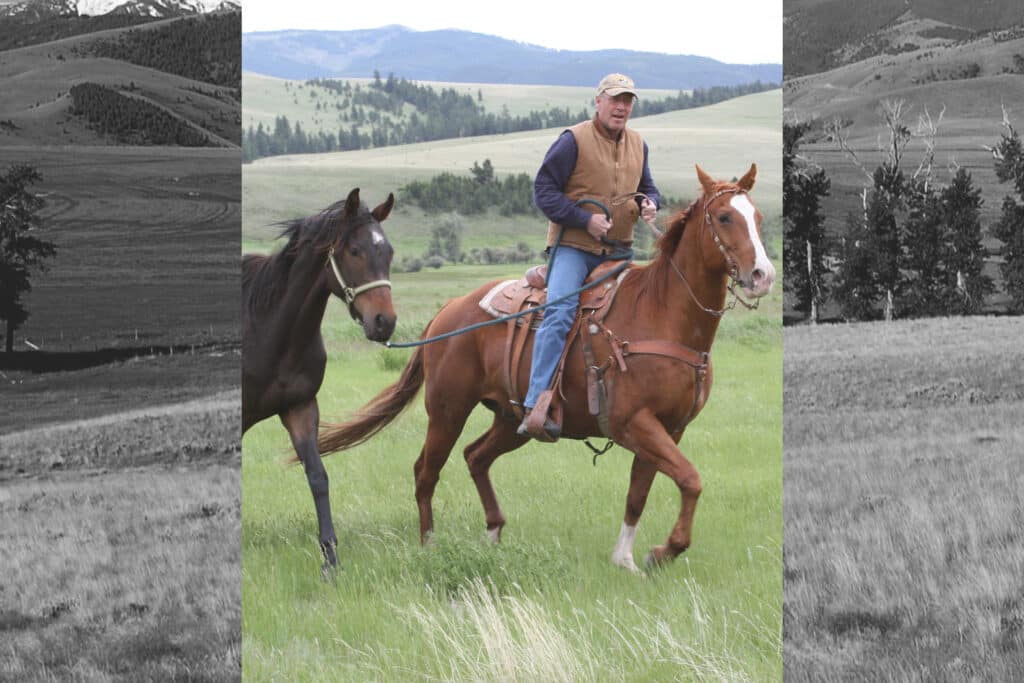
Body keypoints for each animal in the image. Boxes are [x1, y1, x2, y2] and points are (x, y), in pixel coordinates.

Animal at [242, 188, 397, 572]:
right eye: (354, 250)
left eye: (388, 251)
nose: (384, 321)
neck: (270, 331)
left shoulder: (300, 408)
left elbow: (318, 476)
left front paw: (330, 558)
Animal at [317, 165, 774, 571]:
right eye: (725, 217)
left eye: (758, 217)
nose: (762, 275)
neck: (661, 313)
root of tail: (447, 311)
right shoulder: (634, 422)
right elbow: (690, 479)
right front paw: (663, 551)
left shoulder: (668, 428)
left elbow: (641, 493)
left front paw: (626, 558)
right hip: (447, 410)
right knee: (426, 471)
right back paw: (429, 546)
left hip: (511, 418)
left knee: (476, 456)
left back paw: (493, 533)